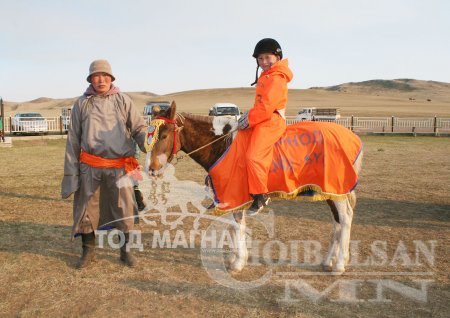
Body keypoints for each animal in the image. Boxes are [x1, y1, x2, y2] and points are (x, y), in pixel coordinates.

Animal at [148, 102, 362, 274]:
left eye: (164, 135)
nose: (151, 169)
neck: (223, 144)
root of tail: (352, 137)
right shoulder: (230, 197)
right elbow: (233, 227)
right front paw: (234, 258)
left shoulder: (236, 195)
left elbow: (237, 225)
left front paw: (238, 263)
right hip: (330, 192)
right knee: (337, 222)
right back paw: (329, 261)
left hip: (337, 192)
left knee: (345, 219)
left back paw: (339, 264)